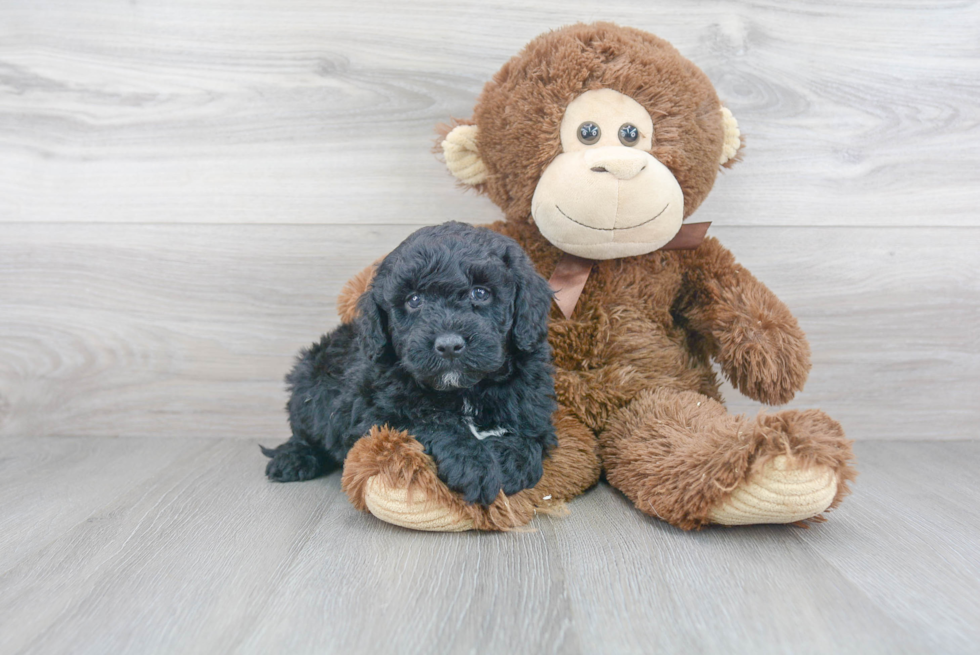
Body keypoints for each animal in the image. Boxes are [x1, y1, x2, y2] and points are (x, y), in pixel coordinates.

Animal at [262, 223, 560, 504]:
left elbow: (531, 440)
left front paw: (509, 463)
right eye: (414, 300)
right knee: (305, 431)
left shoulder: (533, 407)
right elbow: (429, 422)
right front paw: (474, 464)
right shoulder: (376, 415)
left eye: (480, 293)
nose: (448, 345)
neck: (465, 391)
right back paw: (293, 459)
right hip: (309, 385)